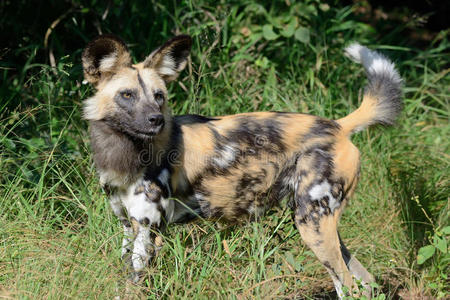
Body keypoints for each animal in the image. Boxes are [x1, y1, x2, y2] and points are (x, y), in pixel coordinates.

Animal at [81, 35, 404, 298]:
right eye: (127, 95)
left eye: (159, 96)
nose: (156, 120)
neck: (125, 154)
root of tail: (338, 126)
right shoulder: (129, 229)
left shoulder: (148, 234)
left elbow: (132, 287)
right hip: (318, 222)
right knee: (364, 283)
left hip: (312, 225)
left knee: (347, 286)